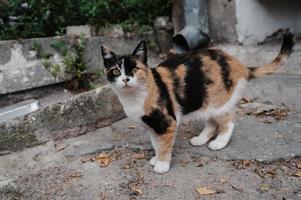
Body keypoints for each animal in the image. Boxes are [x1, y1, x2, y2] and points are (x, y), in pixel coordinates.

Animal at [100, 30, 292, 173]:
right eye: (116, 71)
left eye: (135, 69)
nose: (125, 79)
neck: (133, 97)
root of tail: (239, 64)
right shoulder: (151, 125)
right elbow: (156, 143)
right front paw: (155, 158)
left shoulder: (167, 122)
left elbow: (164, 144)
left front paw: (162, 164)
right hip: (205, 102)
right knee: (212, 123)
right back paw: (200, 139)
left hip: (218, 104)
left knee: (228, 123)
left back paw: (218, 143)